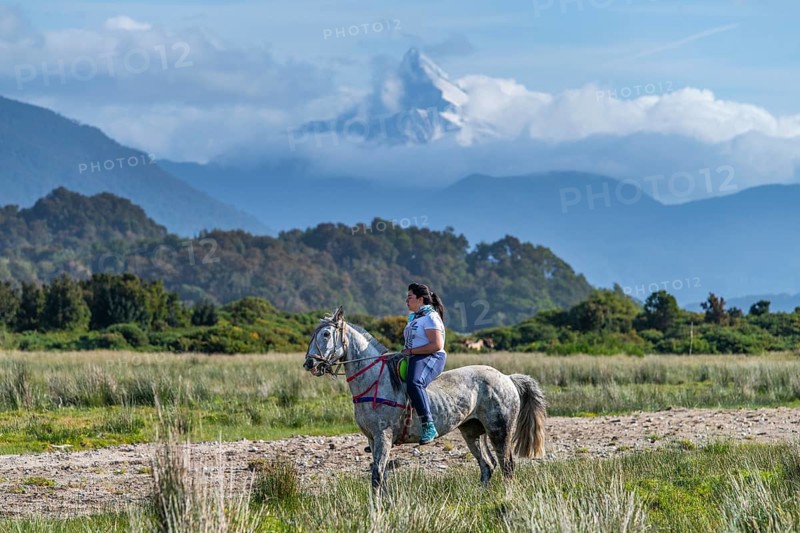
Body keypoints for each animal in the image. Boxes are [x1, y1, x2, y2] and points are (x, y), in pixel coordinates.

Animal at [303, 307, 546, 491]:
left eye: (326, 334)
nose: (309, 364)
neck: (374, 380)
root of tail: (507, 378)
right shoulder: (372, 439)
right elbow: (381, 476)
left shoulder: (383, 437)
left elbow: (377, 476)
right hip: (472, 431)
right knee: (487, 465)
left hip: (499, 431)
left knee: (507, 465)